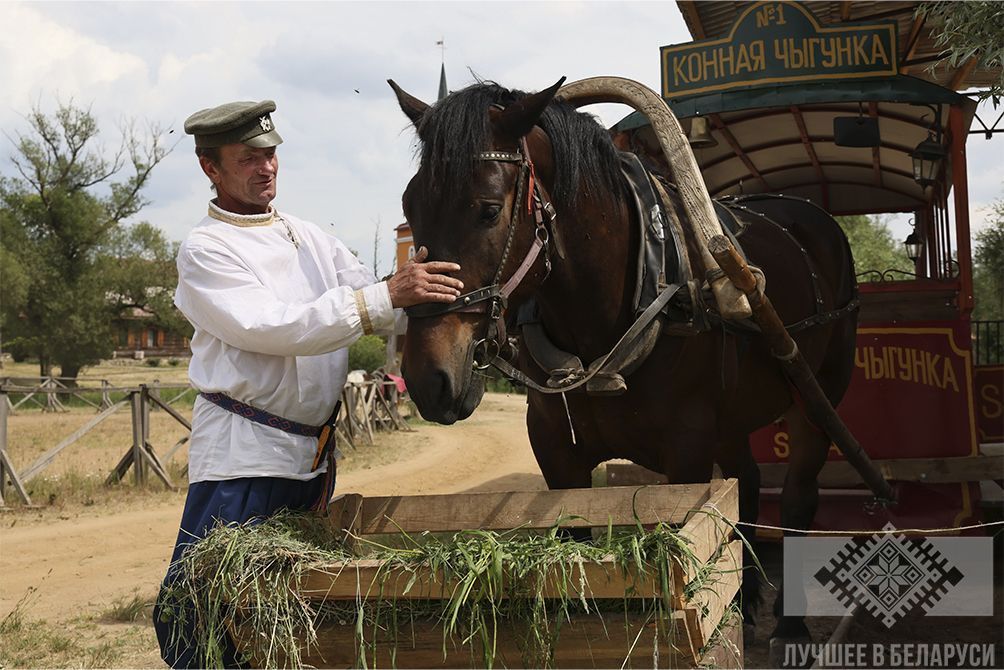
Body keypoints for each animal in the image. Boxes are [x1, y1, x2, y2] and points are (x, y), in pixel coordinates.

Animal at [387, 77, 859, 658]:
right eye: (410, 205)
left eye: (488, 210)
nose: (428, 378)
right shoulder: (555, 451)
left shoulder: (687, 452)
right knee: (746, 484)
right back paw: (745, 605)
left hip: (816, 395)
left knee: (796, 497)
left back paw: (789, 625)